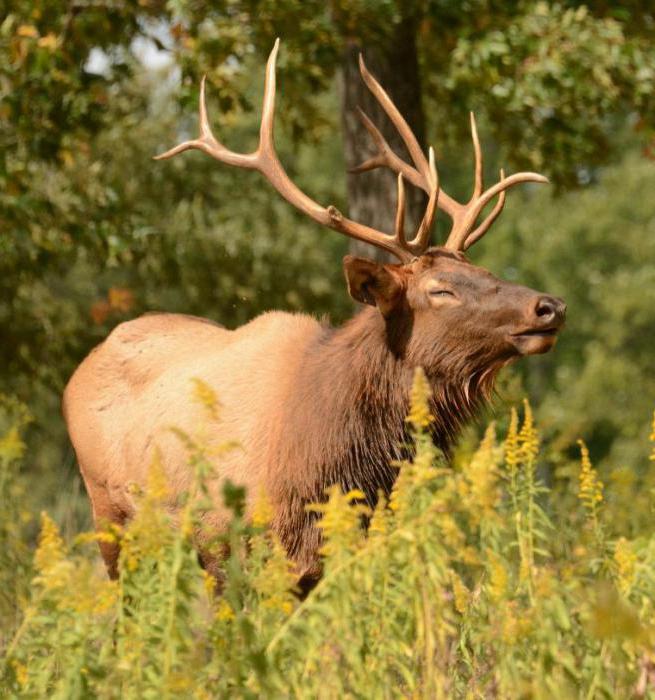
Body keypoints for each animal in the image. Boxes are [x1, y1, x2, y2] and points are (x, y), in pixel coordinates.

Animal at [68, 39, 568, 592]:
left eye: (483, 268)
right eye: (441, 290)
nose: (549, 306)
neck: (329, 459)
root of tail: (83, 365)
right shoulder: (226, 544)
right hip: (109, 515)